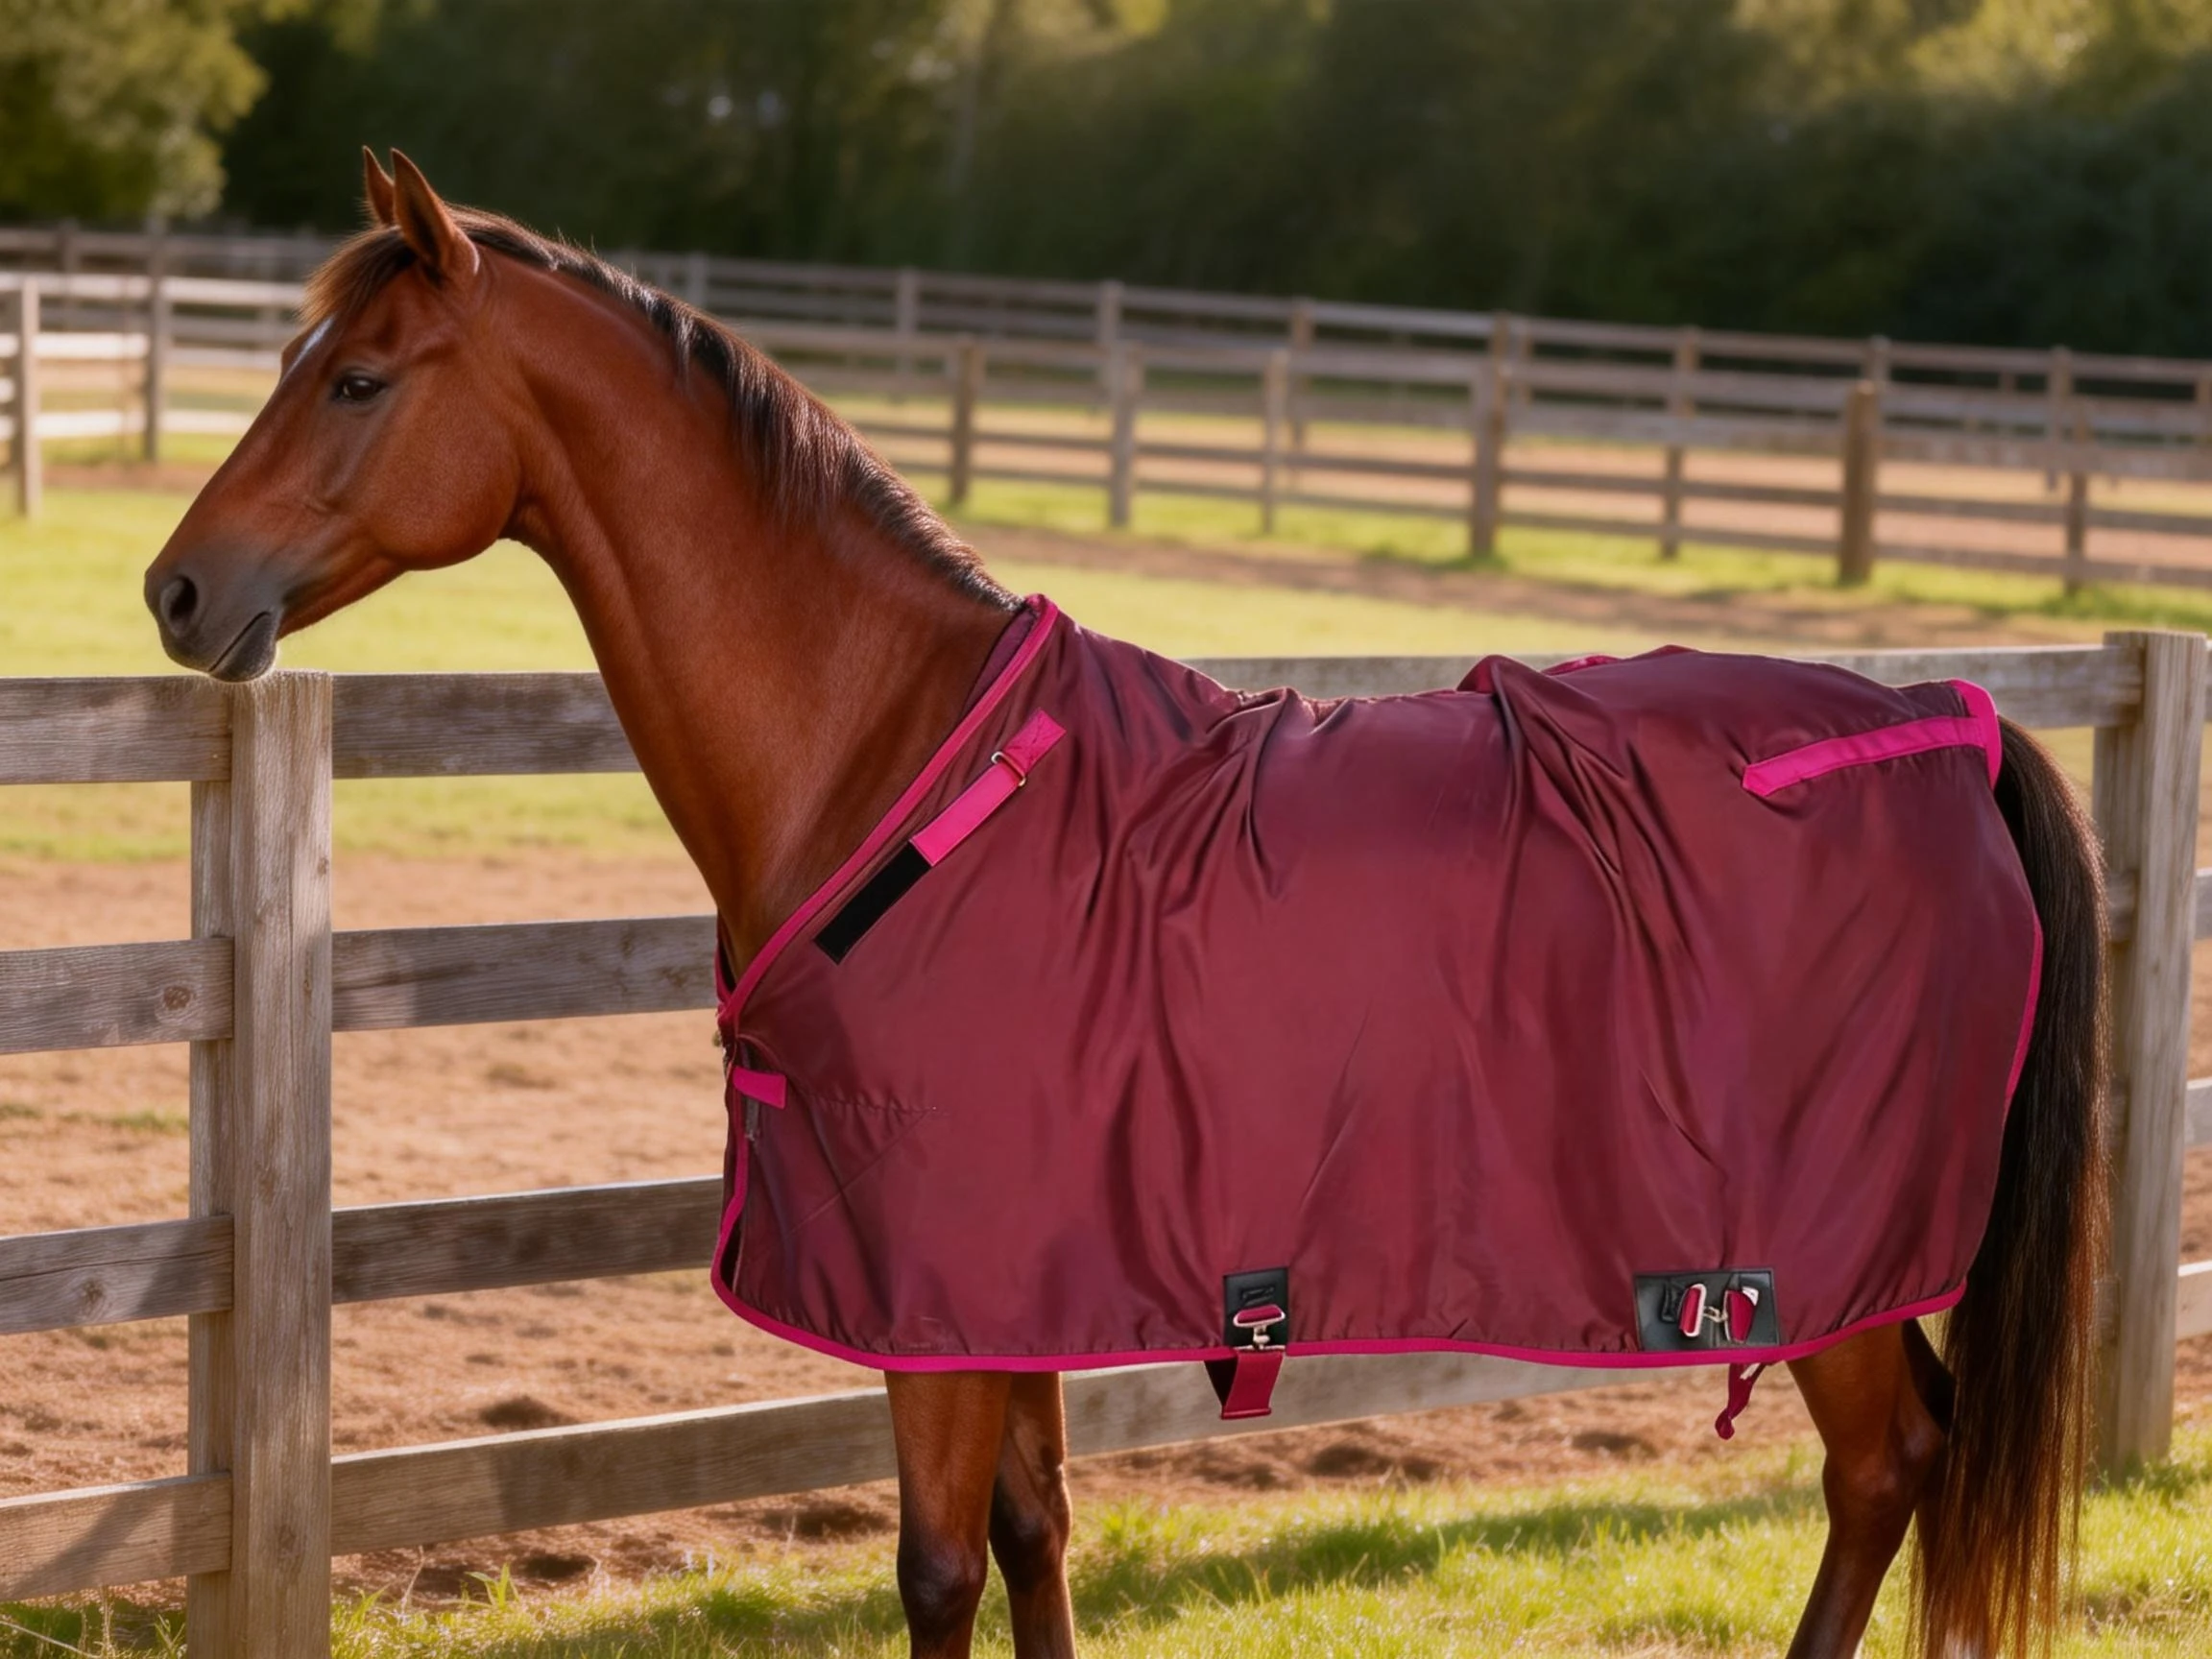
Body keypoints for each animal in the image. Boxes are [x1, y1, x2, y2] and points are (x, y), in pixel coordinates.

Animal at [142, 151, 2107, 1659]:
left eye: (356, 380)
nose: (176, 590)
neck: (892, 751)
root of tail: (1951, 724)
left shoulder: (932, 1294)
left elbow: (938, 1569)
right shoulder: (1007, 1284)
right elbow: (1033, 1536)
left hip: (1810, 1269)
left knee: (1887, 1463)